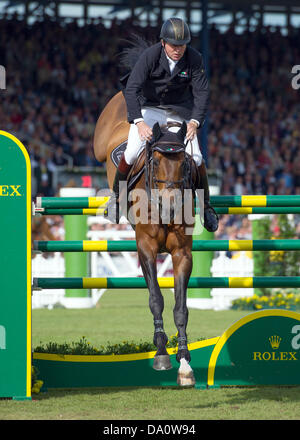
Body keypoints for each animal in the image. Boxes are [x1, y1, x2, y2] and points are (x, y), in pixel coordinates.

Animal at [92, 91, 199, 386]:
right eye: (155, 161)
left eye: (184, 163)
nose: (171, 206)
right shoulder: (146, 248)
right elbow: (156, 299)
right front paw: (161, 352)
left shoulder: (182, 253)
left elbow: (181, 307)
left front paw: (184, 361)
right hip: (101, 142)